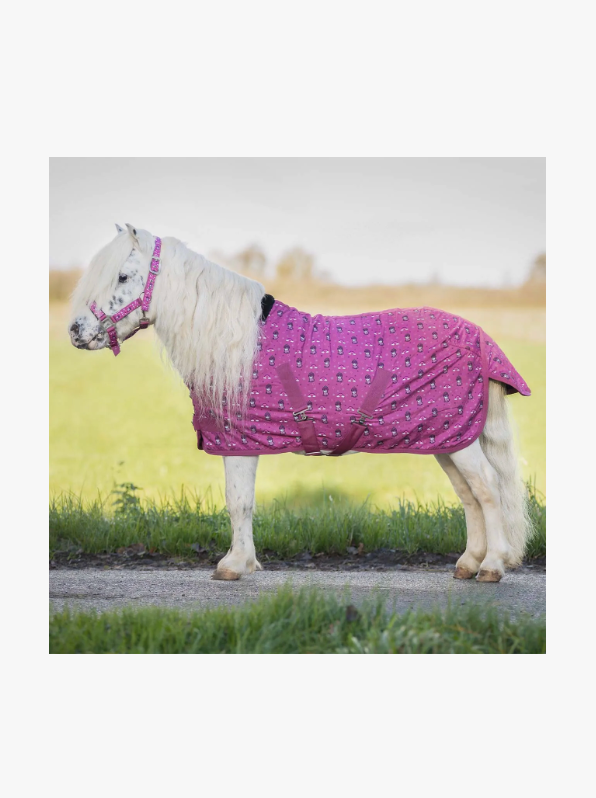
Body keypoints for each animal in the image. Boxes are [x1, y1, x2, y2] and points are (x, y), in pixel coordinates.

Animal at [69, 224, 532, 583]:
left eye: (123, 276)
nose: (75, 332)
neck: (237, 344)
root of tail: (480, 338)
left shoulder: (239, 442)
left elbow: (238, 501)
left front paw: (234, 565)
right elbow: (240, 502)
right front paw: (242, 562)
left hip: (458, 440)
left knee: (489, 488)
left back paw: (491, 566)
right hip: (446, 439)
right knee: (470, 495)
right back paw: (467, 563)